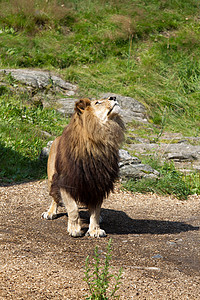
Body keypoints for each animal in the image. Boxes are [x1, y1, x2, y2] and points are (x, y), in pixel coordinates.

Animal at [41, 97, 124, 238]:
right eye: (98, 102)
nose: (114, 97)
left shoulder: (98, 184)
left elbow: (95, 211)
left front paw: (95, 230)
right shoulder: (66, 182)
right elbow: (73, 209)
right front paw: (74, 229)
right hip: (52, 177)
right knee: (54, 197)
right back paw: (51, 212)